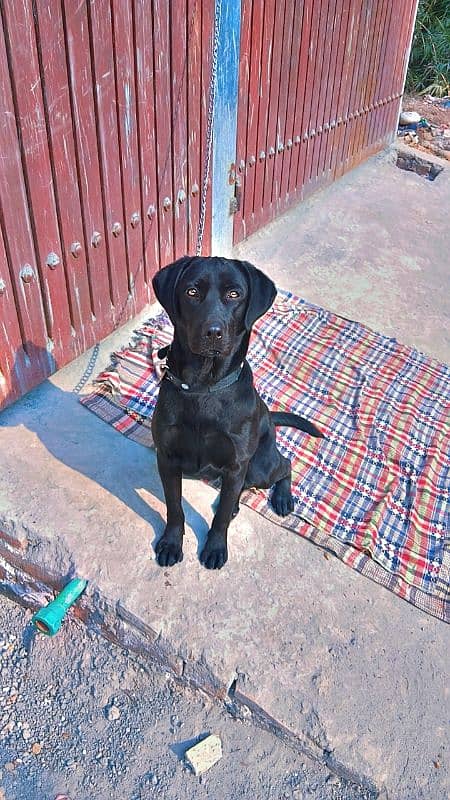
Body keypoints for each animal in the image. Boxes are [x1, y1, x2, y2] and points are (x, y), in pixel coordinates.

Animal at [153, 256, 322, 568]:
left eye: (234, 294)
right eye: (191, 291)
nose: (213, 333)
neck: (204, 386)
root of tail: (268, 415)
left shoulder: (236, 463)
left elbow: (219, 519)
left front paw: (215, 547)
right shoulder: (167, 458)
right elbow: (174, 507)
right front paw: (171, 543)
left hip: (259, 466)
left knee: (285, 464)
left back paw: (282, 497)